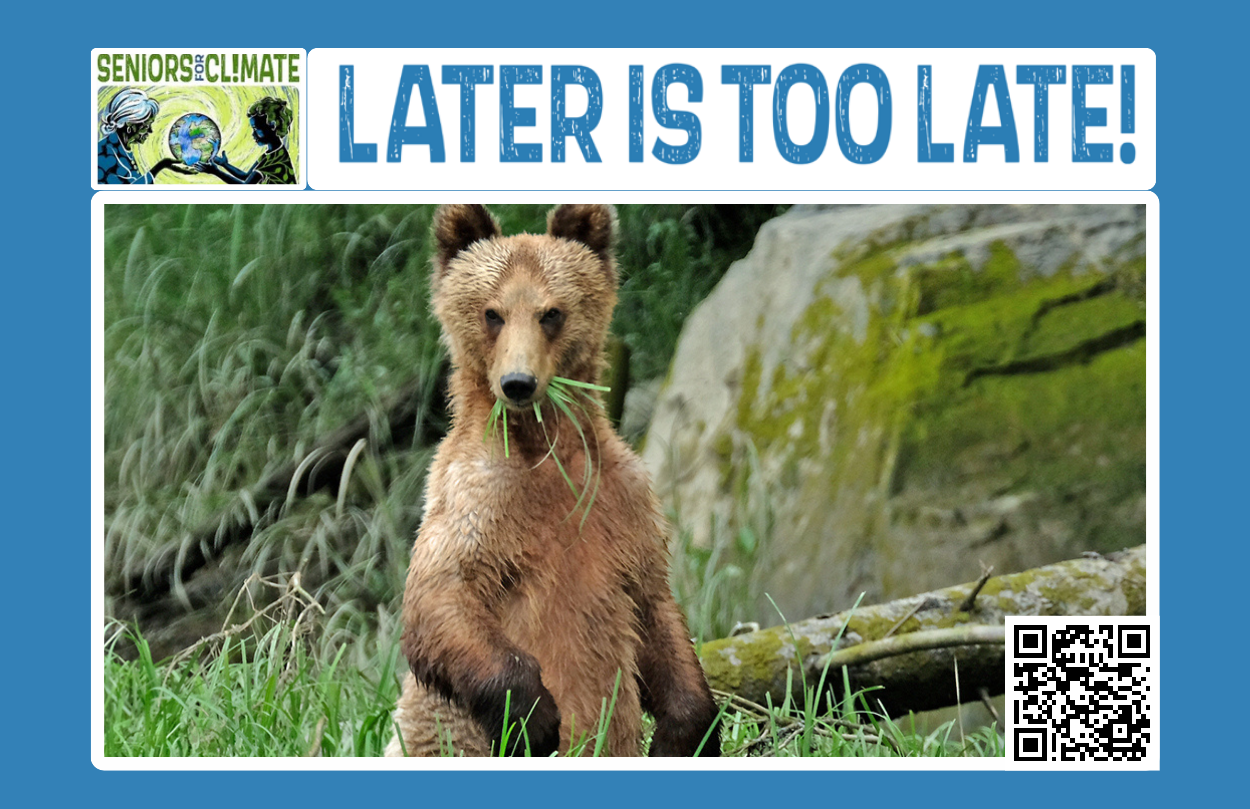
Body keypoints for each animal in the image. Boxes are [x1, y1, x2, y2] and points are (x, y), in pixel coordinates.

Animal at [385, 204, 722, 758]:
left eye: (551, 313)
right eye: (492, 313)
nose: (518, 383)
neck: (544, 449)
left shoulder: (624, 504)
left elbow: (654, 609)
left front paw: (683, 735)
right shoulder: (477, 500)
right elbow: (441, 598)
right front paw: (532, 715)